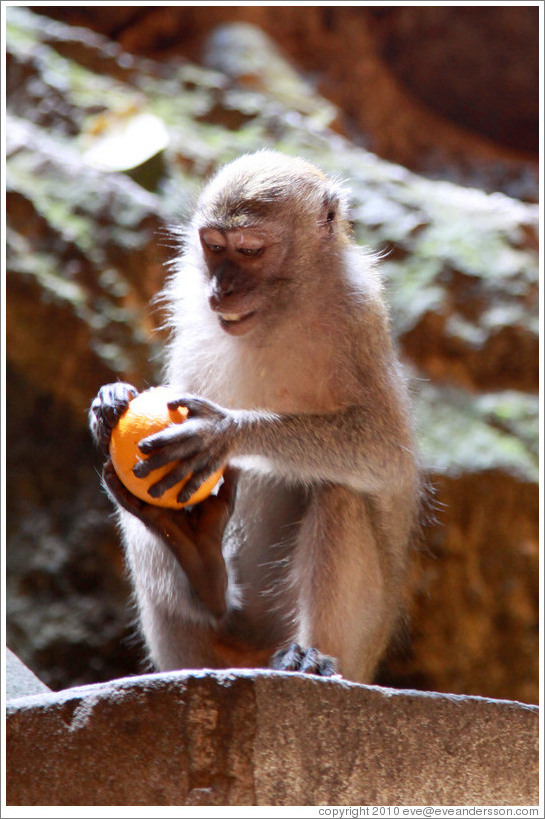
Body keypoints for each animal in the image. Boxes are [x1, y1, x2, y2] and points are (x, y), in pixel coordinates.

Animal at [90, 151, 420, 684]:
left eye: (249, 251)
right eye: (213, 246)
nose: (221, 289)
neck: (280, 311)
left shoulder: (360, 315)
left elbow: (383, 451)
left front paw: (225, 432)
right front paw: (114, 399)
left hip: (358, 647)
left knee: (341, 490)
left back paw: (311, 655)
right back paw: (199, 561)